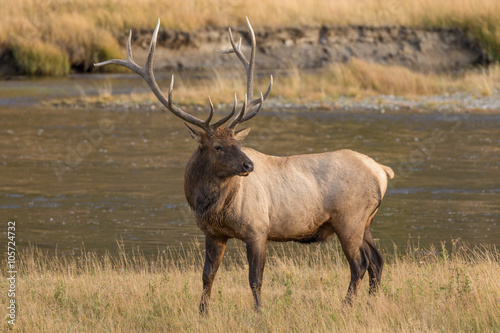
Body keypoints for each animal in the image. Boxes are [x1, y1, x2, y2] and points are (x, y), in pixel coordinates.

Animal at [96, 18, 394, 312]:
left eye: (237, 143)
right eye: (218, 146)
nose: (249, 165)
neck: (212, 207)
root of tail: (382, 172)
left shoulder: (257, 229)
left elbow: (255, 278)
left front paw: (259, 312)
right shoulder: (213, 234)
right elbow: (207, 275)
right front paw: (202, 312)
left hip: (349, 218)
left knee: (360, 264)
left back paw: (346, 306)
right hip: (366, 222)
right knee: (377, 261)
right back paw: (370, 304)